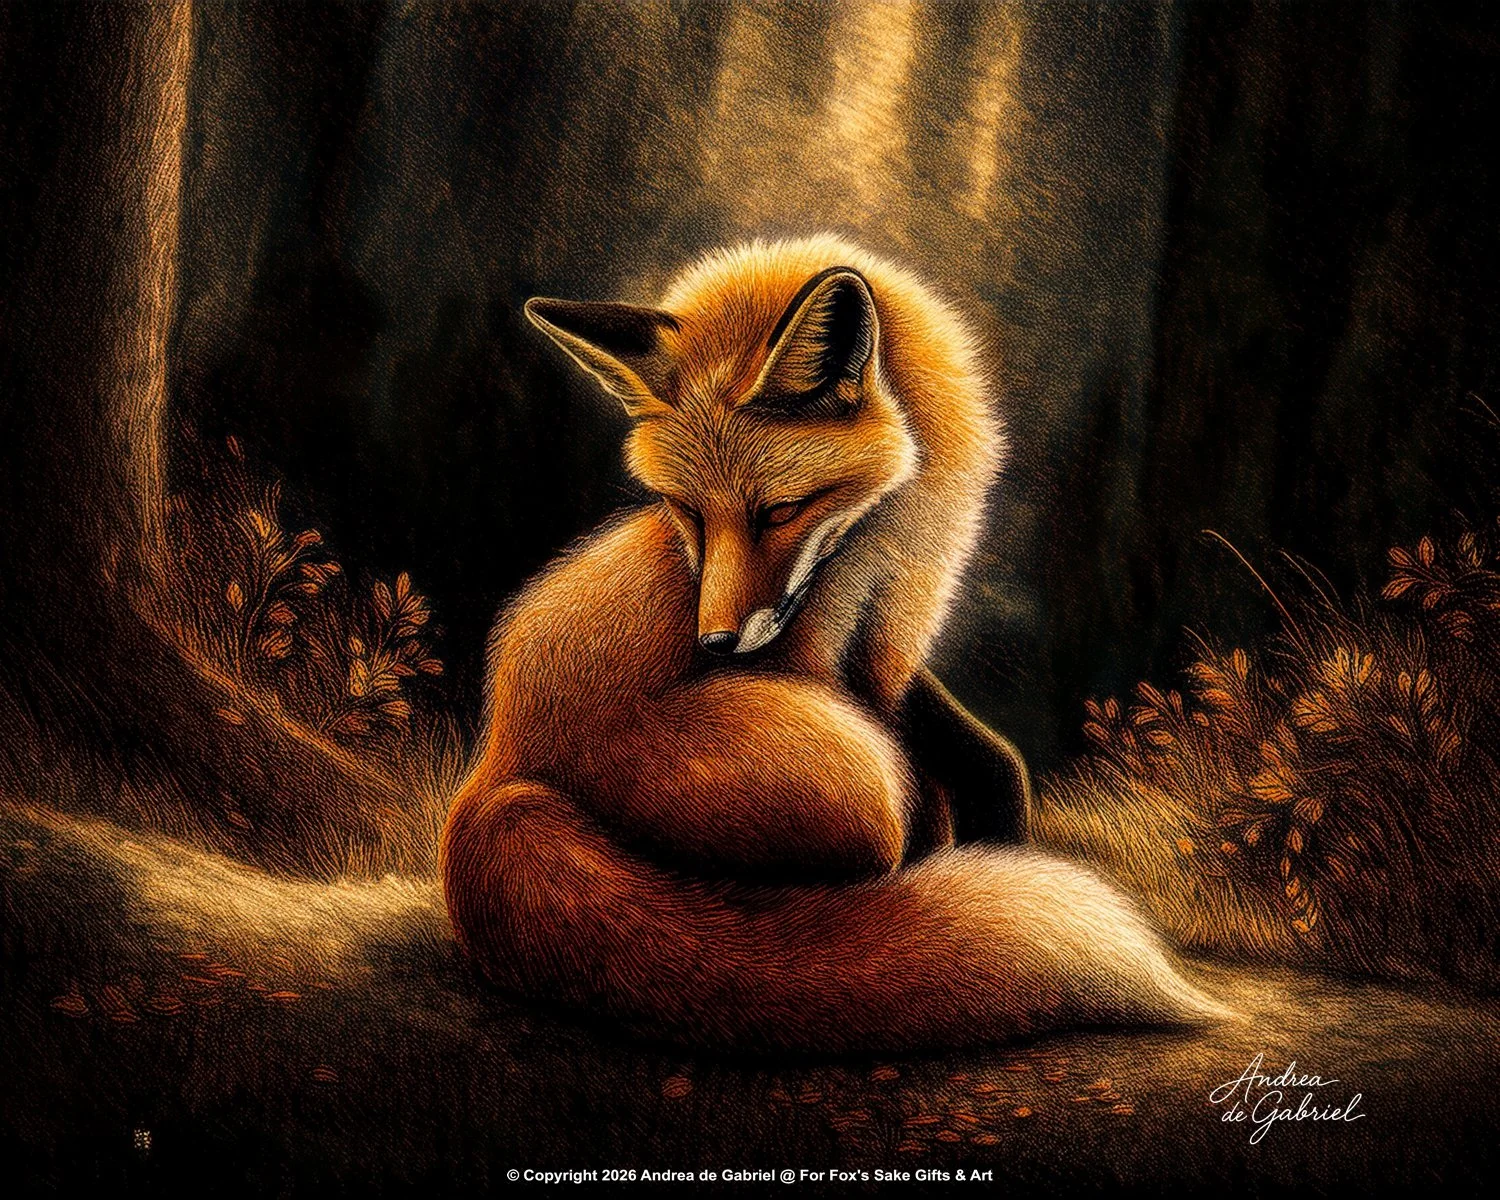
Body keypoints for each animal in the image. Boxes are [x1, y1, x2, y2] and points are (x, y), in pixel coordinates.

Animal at [440, 234, 1227, 1051]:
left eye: (777, 512)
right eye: (687, 512)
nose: (715, 643)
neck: (880, 537)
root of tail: (494, 785)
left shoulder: (898, 637)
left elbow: (983, 755)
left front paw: (988, 827)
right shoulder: (812, 656)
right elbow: (926, 784)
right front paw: (936, 869)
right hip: (847, 767)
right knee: (869, 826)